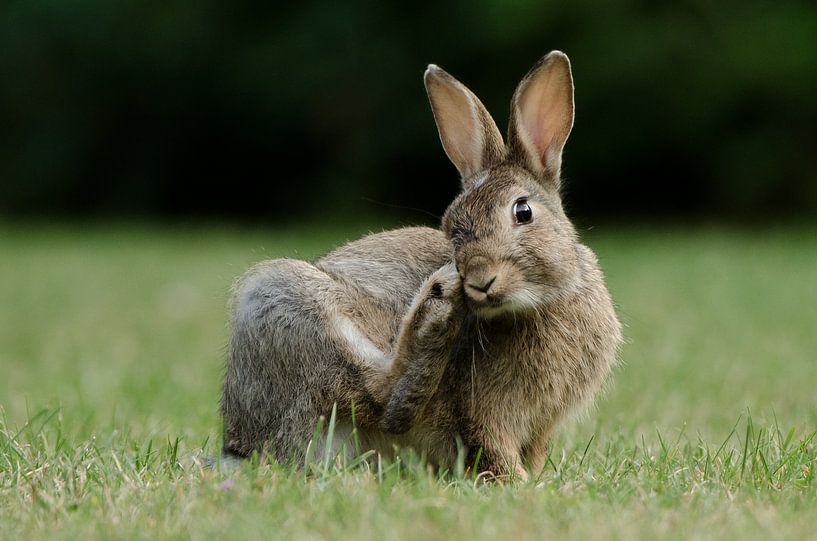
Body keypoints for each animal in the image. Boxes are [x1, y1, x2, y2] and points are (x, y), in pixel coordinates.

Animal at [220, 52, 620, 478]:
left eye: (523, 212)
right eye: (451, 229)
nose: (478, 280)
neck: (540, 303)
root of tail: (239, 443)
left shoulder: (540, 426)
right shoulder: (482, 413)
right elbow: (492, 449)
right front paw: (519, 482)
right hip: (283, 298)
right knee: (383, 401)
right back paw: (435, 309)